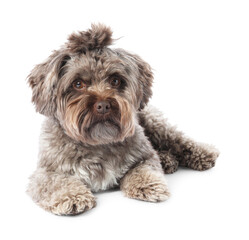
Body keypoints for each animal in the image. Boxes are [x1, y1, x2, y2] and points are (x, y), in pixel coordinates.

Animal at [26, 23, 219, 216]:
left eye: (115, 80)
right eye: (78, 84)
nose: (103, 105)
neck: (99, 143)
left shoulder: (145, 156)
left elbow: (142, 169)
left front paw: (149, 185)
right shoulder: (45, 172)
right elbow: (55, 182)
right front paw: (72, 196)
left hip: (156, 125)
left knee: (180, 141)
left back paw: (203, 153)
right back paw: (167, 159)